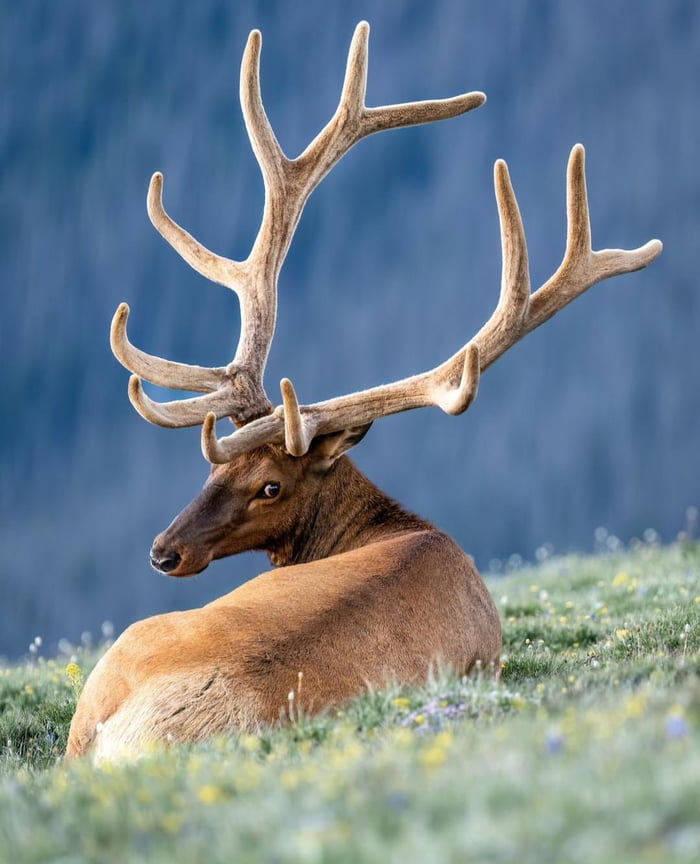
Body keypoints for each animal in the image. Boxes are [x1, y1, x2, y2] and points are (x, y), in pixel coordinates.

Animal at [65, 22, 660, 764]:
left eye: (271, 486)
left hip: (121, 652)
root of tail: (145, 736)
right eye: (212, 466)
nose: (163, 550)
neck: (402, 529)